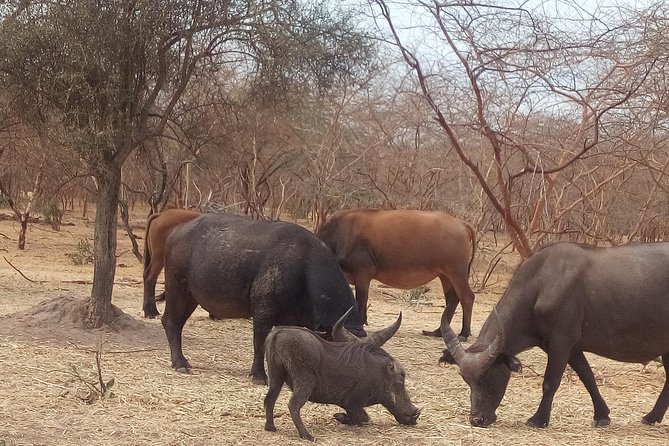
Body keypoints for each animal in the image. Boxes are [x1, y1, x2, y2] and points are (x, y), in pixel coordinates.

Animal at [160, 213, 362, 384]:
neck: (304, 266)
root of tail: (175, 232)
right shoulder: (263, 313)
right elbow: (260, 342)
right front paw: (259, 375)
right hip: (178, 290)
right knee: (171, 322)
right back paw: (180, 363)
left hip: (191, 298)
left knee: (176, 323)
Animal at [262, 308, 414, 440]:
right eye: (402, 377)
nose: (416, 414)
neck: (381, 373)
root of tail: (278, 332)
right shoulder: (353, 402)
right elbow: (361, 418)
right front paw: (339, 417)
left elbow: (363, 417)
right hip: (304, 380)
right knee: (293, 405)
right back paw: (308, 436)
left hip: (275, 375)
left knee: (269, 399)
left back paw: (271, 428)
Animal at [318, 207, 474, 340]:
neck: (341, 234)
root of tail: (461, 223)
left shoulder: (363, 275)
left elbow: (361, 302)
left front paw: (359, 328)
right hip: (445, 275)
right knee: (452, 300)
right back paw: (438, 331)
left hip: (456, 272)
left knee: (467, 297)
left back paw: (463, 333)